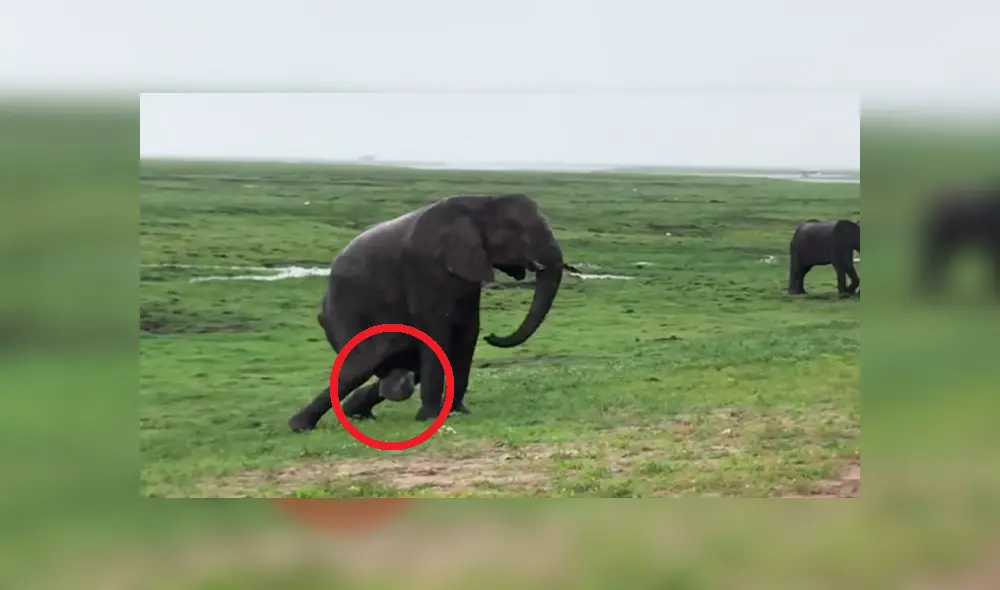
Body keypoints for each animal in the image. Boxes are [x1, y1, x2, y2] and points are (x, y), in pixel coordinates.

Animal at [288, 193, 567, 432]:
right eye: (521, 232)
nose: (494, 336)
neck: (480, 202)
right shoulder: (426, 267)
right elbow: (437, 332)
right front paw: (431, 417)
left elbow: (467, 333)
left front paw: (458, 412)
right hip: (344, 313)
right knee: (359, 365)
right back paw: (300, 425)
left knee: (401, 367)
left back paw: (360, 408)